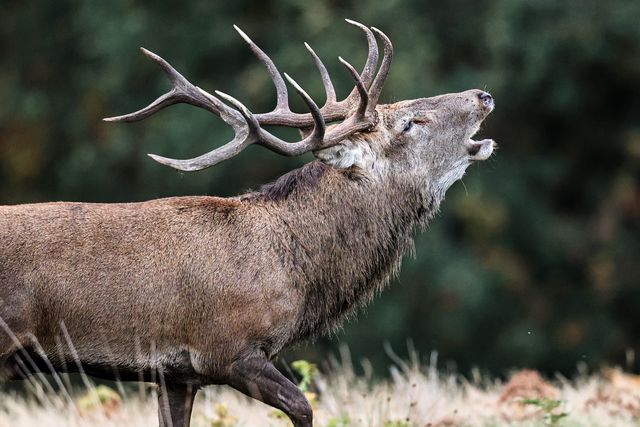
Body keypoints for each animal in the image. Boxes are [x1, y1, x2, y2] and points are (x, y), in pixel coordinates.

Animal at [0, 20, 495, 427]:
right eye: (410, 123)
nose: (482, 95)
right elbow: (304, 406)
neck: (296, 273)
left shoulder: (175, 374)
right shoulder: (227, 348)